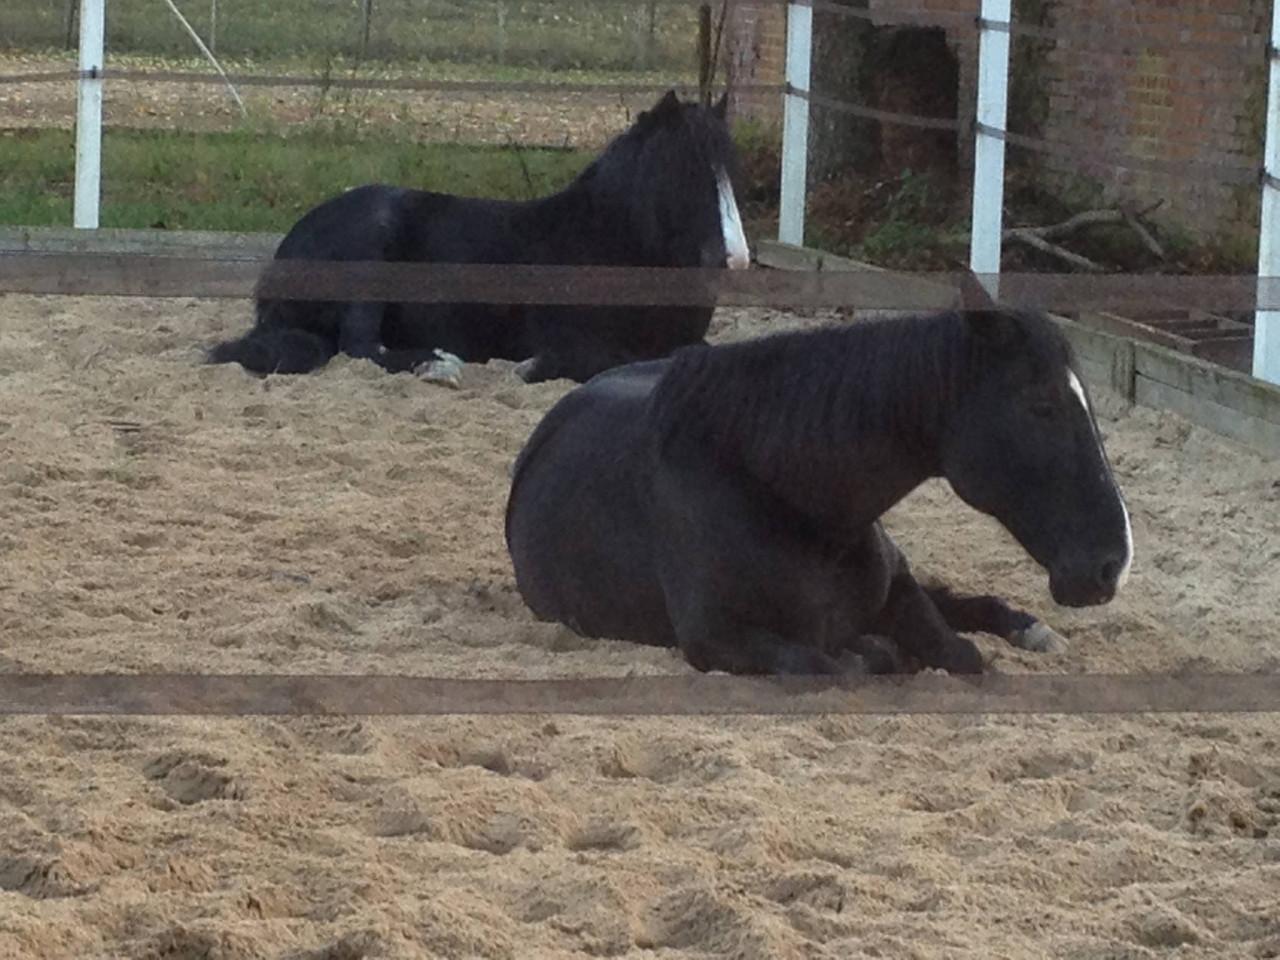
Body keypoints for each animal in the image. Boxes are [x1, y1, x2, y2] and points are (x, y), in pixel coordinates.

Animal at [206, 90, 750, 385]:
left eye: (732, 166)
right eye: (681, 171)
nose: (734, 259)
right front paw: (532, 367)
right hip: (370, 256)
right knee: (361, 346)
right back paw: (439, 364)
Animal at [504, 278, 1134, 675]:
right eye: (1042, 406)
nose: (1113, 564)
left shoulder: (900, 592)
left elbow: (958, 652)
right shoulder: (715, 639)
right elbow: (833, 662)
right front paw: (873, 650)